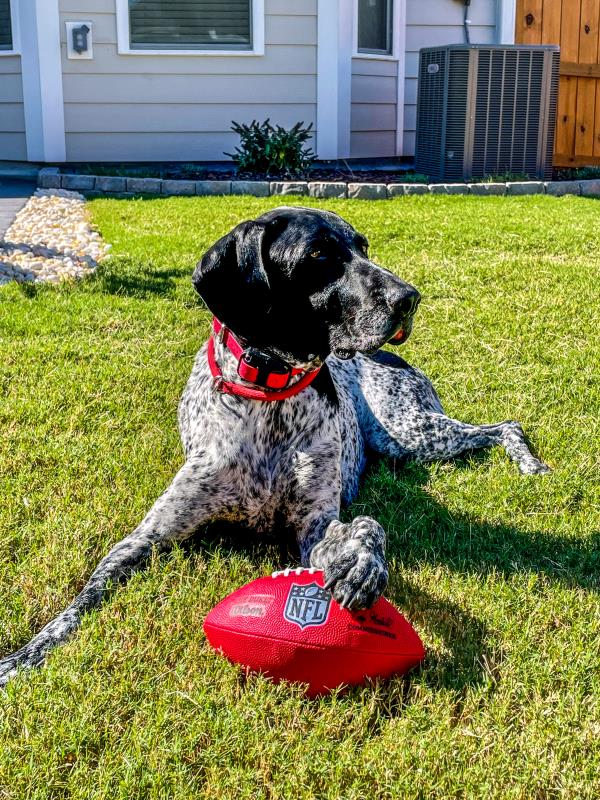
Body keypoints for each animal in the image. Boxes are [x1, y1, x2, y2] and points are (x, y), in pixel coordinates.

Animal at [0, 206, 548, 688]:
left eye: (363, 247)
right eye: (319, 255)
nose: (409, 299)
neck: (269, 393)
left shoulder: (314, 528)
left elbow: (367, 526)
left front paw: (364, 564)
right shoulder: (149, 536)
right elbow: (79, 601)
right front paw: (25, 656)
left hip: (410, 433)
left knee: (506, 426)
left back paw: (531, 464)